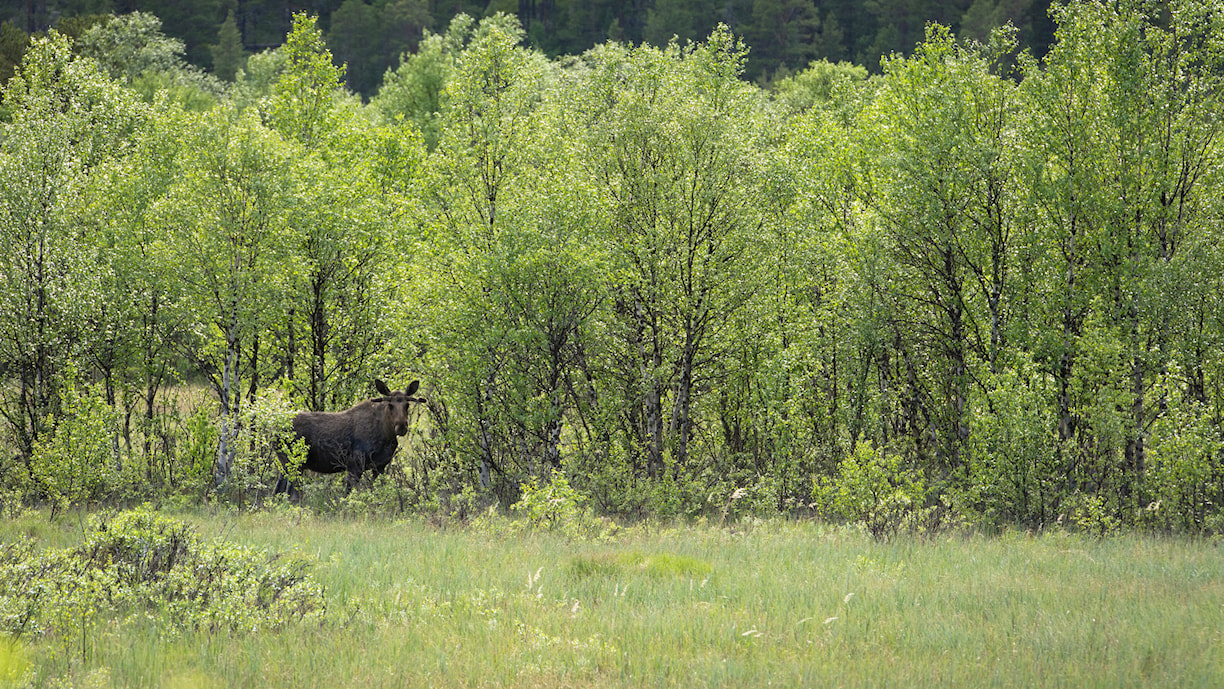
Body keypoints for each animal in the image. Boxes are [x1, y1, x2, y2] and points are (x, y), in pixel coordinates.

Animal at [275, 376, 423, 496]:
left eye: (407, 405)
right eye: (390, 405)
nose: (401, 426)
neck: (387, 436)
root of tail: (274, 430)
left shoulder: (380, 467)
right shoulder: (354, 464)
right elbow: (348, 493)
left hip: (286, 465)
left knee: (277, 491)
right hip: (293, 463)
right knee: (290, 493)